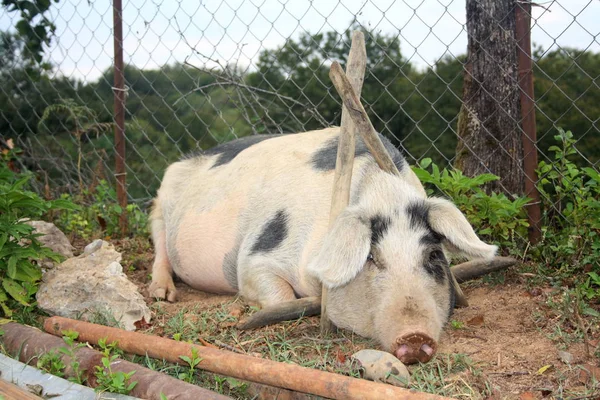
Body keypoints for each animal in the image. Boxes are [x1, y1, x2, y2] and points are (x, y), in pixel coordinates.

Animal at [150, 126, 496, 364]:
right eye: (371, 257)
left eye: (434, 255)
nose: (414, 336)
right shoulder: (254, 260)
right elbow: (277, 296)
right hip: (159, 205)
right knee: (159, 248)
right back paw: (162, 295)